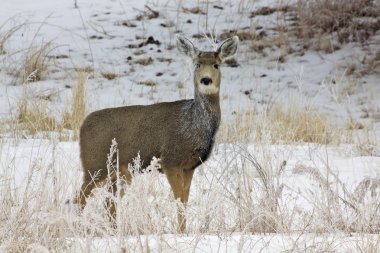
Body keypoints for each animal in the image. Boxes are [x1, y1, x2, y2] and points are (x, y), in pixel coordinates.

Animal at [75, 34, 239, 232]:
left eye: (216, 64)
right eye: (197, 64)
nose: (206, 80)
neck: (193, 125)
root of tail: (82, 126)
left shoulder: (189, 166)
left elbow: (185, 201)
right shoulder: (170, 160)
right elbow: (179, 201)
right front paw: (181, 232)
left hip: (119, 170)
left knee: (109, 202)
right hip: (94, 164)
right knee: (81, 197)